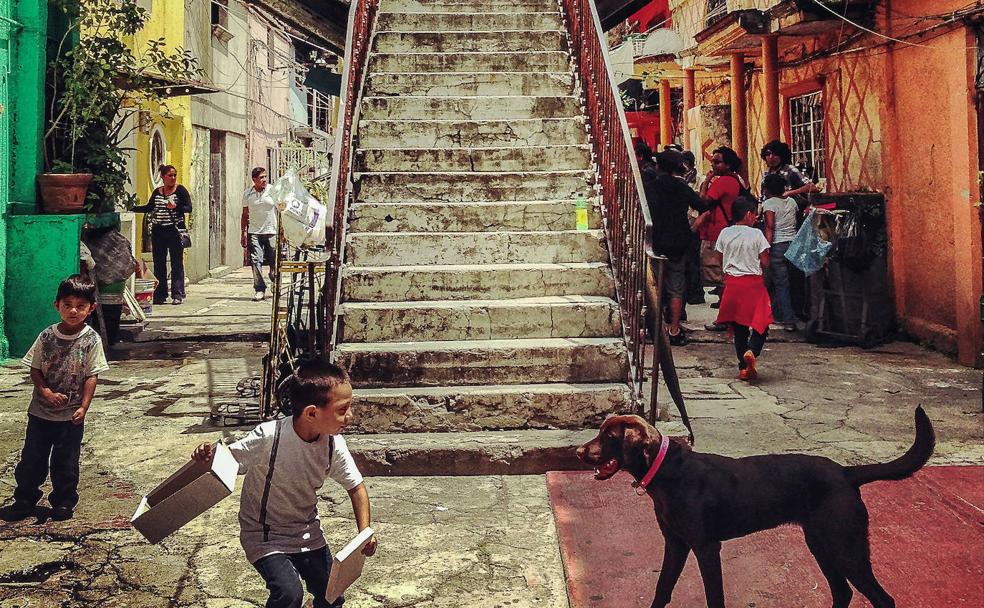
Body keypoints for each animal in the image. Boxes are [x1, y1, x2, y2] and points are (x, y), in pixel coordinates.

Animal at [572, 406, 936, 604]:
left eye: (608, 438)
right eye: (600, 432)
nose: (577, 452)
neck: (668, 472)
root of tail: (846, 473)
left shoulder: (706, 547)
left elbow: (714, 597)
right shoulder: (675, 544)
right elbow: (662, 589)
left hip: (846, 548)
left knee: (882, 598)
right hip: (822, 544)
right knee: (843, 593)